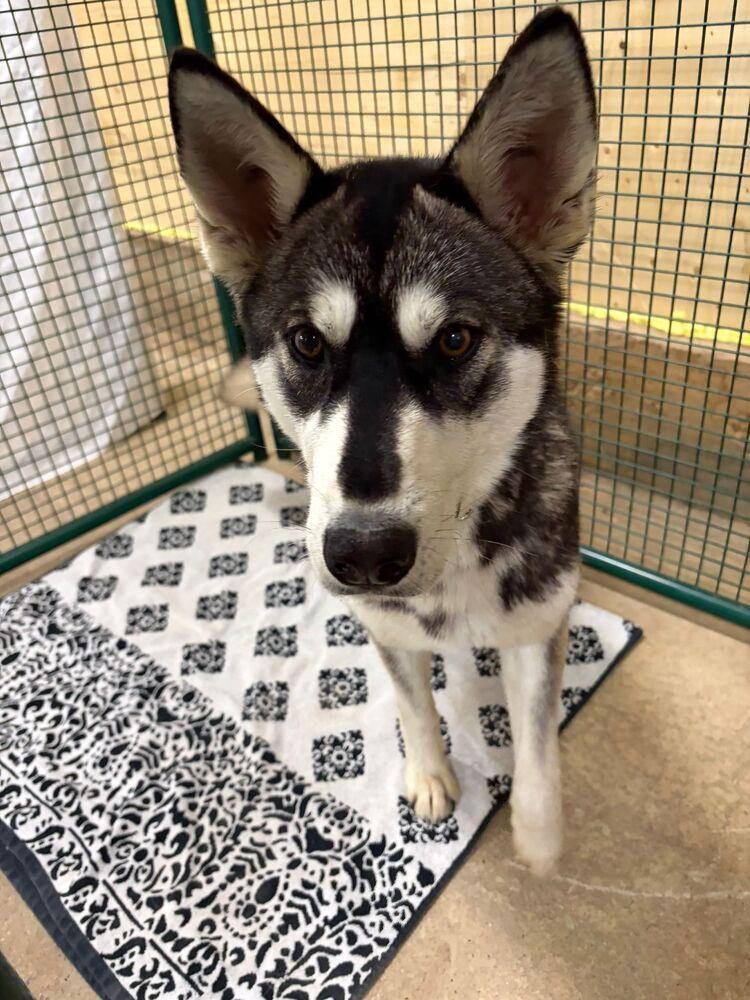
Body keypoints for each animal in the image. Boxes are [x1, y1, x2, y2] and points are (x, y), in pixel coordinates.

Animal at [168, 5, 597, 874]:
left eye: (457, 340)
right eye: (306, 342)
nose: (364, 554)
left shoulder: (537, 626)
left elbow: (538, 748)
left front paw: (538, 837)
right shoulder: (387, 629)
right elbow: (411, 700)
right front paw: (431, 773)